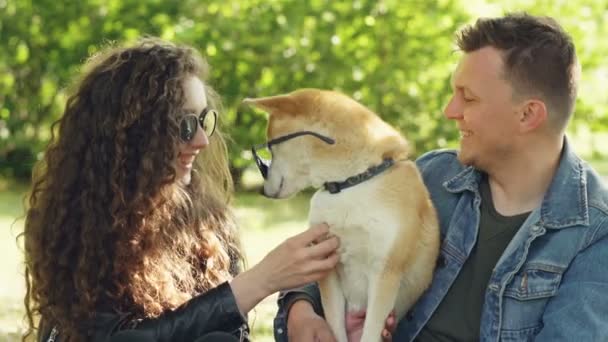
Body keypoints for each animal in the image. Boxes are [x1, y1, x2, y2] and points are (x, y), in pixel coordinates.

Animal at [242, 89, 436, 342]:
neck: (351, 183)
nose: (263, 191)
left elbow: (371, 333)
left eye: (271, 150)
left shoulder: (385, 272)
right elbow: (335, 326)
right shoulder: (327, 267)